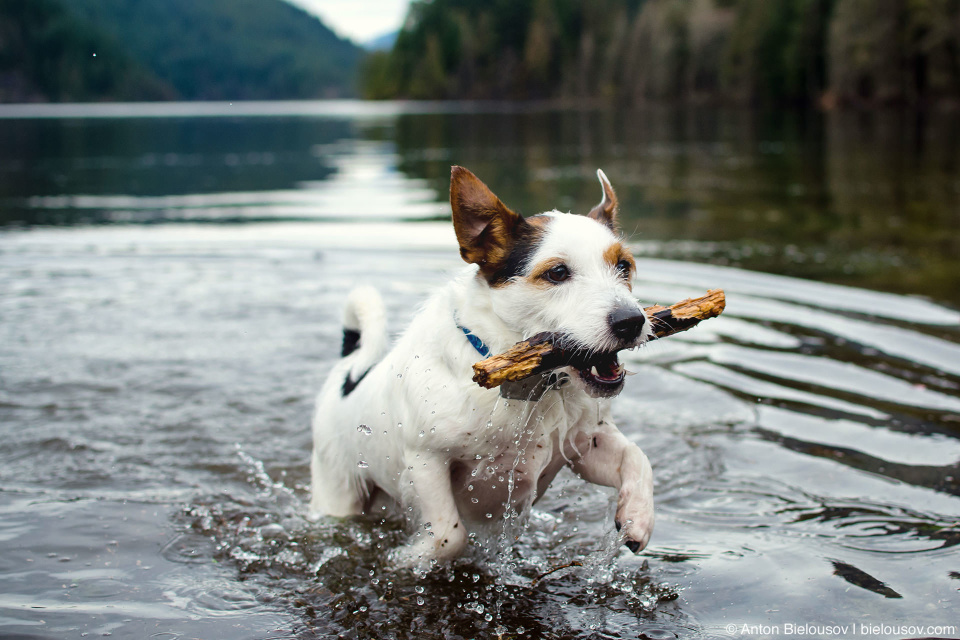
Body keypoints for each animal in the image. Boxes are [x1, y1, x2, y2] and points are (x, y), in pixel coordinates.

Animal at [312, 168, 656, 568]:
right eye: (557, 273)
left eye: (623, 266)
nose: (632, 321)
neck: (529, 387)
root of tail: (348, 378)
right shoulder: (424, 461)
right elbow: (448, 535)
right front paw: (408, 558)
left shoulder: (585, 445)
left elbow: (638, 458)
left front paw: (637, 517)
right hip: (338, 492)